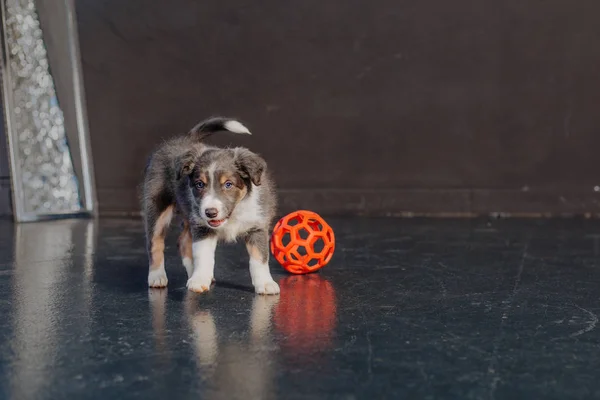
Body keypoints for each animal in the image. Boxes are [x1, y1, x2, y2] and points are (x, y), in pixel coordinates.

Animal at [142, 117, 280, 296]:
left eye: (228, 184)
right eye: (200, 184)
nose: (210, 213)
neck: (233, 214)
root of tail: (188, 139)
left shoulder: (257, 226)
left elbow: (259, 258)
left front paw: (265, 283)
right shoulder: (203, 227)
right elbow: (203, 255)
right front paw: (199, 279)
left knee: (183, 241)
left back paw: (191, 272)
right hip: (158, 205)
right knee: (155, 242)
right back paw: (157, 276)